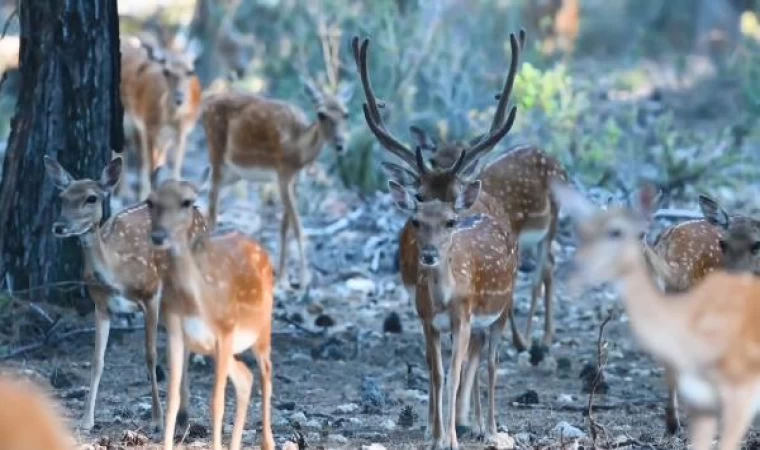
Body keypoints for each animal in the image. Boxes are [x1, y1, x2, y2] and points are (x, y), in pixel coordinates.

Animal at [44, 155, 205, 432]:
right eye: (62, 197)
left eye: (91, 198)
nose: (59, 226)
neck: (117, 271)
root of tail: (198, 211)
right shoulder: (101, 305)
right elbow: (97, 361)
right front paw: (86, 420)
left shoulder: (150, 295)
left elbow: (150, 356)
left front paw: (156, 420)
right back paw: (182, 415)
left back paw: (181, 416)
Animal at [145, 174, 274, 450]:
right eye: (150, 201)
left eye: (187, 202)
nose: (159, 236)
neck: (197, 301)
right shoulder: (174, 331)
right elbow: (173, 400)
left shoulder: (225, 330)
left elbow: (216, 403)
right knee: (245, 377)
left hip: (261, 327)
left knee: (265, 371)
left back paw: (268, 442)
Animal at [203, 51, 354, 288]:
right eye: (321, 114)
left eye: (346, 113)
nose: (341, 145)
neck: (298, 149)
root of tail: (205, 103)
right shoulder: (282, 173)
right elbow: (298, 226)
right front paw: (303, 280)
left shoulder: (296, 179)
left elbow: (285, 227)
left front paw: (283, 278)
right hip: (216, 153)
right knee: (212, 211)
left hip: (233, 173)